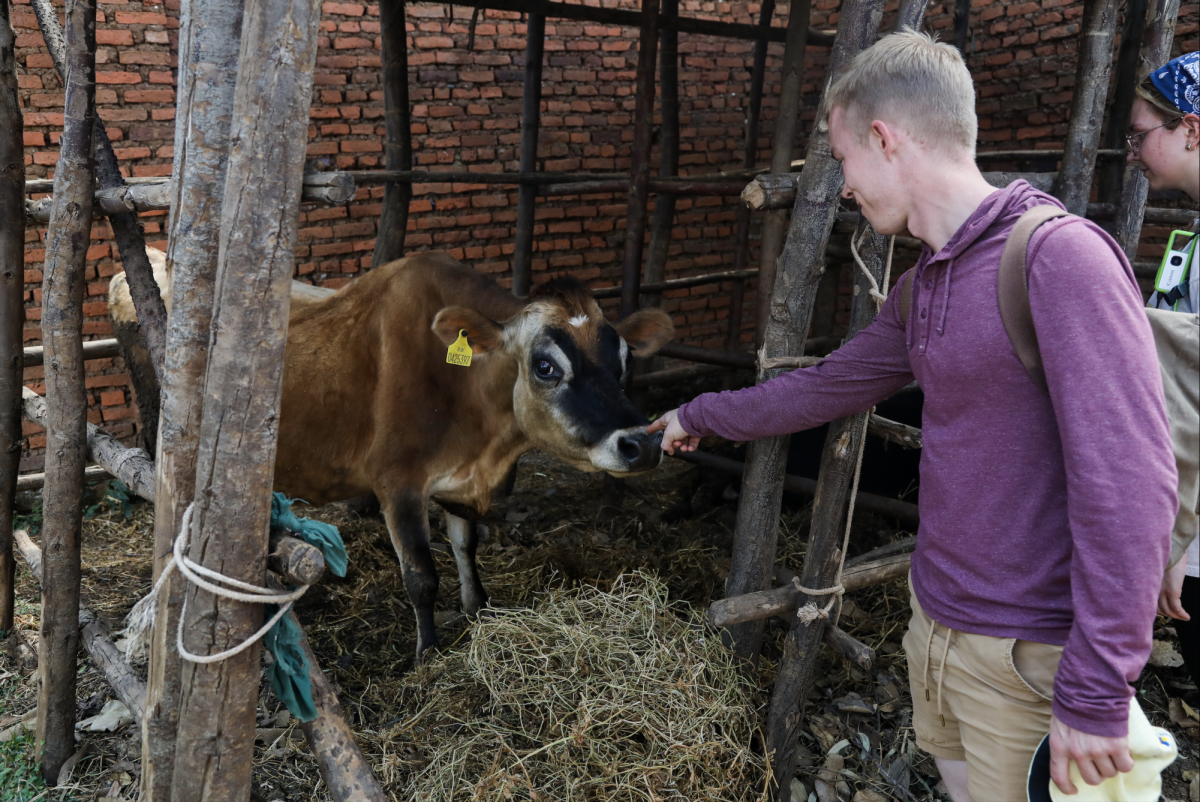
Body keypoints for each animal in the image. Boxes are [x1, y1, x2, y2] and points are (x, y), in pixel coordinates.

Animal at [110, 252, 676, 657]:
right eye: (545, 365)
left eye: (623, 358)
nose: (643, 442)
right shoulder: (397, 482)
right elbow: (421, 576)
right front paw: (428, 653)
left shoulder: (459, 481)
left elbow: (466, 547)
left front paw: (478, 610)